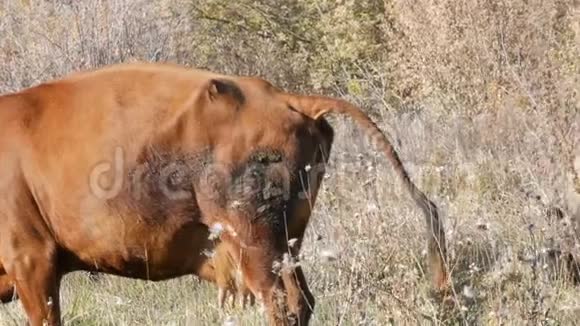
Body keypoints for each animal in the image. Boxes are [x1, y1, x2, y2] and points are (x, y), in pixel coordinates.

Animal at [0, 62, 448, 324]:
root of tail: (281, 95)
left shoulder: (32, 261)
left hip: (254, 241)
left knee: (283, 304)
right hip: (285, 241)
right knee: (301, 300)